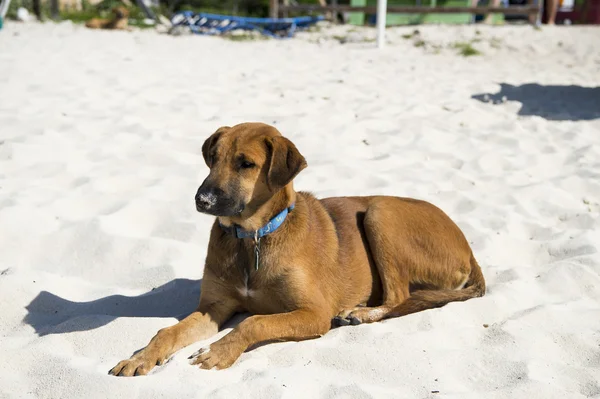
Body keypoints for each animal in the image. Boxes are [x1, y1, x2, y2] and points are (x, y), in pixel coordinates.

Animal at [108, 123, 486, 376]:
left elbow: (254, 322)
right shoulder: (215, 307)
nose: (203, 201)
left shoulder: (314, 313)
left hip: (380, 212)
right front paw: (140, 357)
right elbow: (167, 331)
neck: (253, 238)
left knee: (398, 297)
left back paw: (360, 313)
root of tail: (468, 249)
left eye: (246, 164)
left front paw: (220, 352)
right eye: (212, 158)